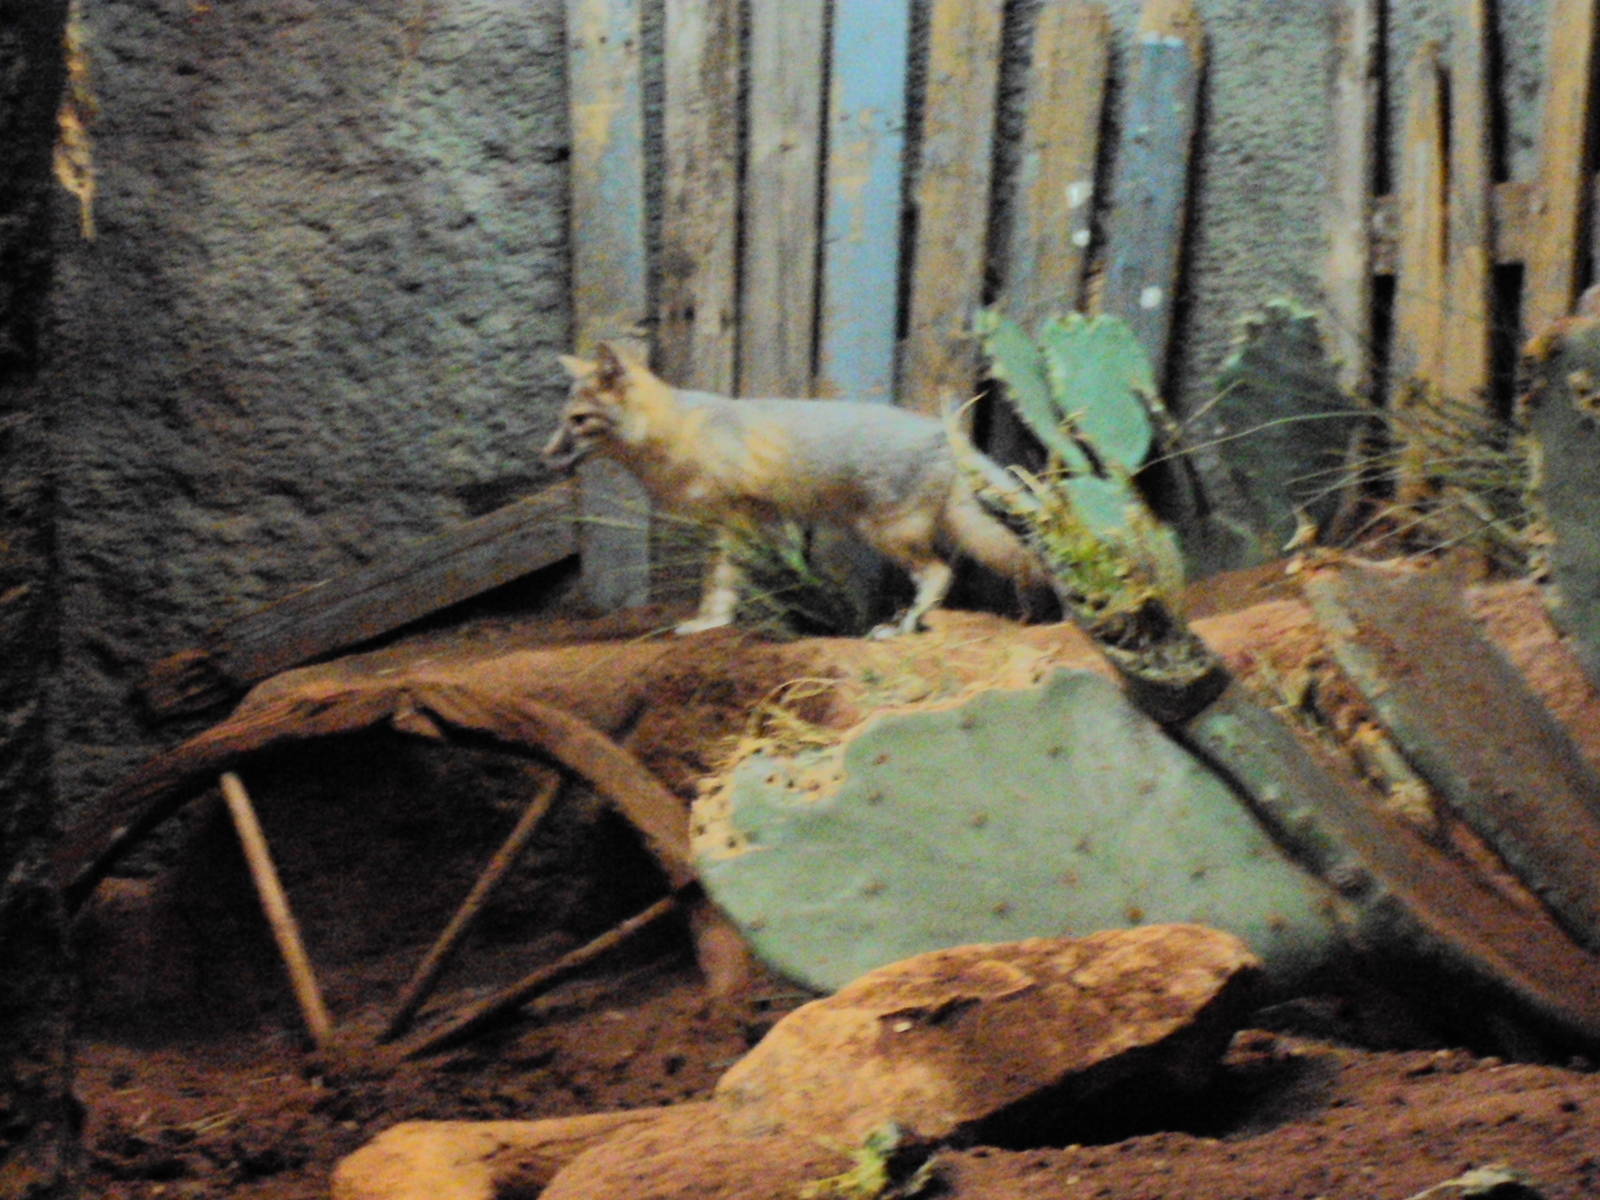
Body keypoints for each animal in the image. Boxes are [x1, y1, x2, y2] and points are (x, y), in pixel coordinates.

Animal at [542, 342, 1049, 637]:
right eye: (563, 419)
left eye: (579, 421)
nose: (544, 456)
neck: (679, 430)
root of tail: (946, 434)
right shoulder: (736, 524)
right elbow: (723, 578)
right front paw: (713, 620)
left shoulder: (735, 517)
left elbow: (719, 579)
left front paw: (711, 621)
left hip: (887, 534)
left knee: (941, 572)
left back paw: (904, 625)